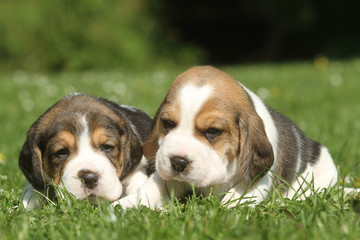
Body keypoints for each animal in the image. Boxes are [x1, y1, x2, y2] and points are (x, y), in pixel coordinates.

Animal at [112, 65, 348, 210]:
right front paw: (124, 206)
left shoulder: (258, 177)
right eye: (168, 124)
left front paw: (225, 212)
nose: (178, 162)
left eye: (213, 131)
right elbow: (152, 187)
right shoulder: (165, 174)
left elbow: (237, 197)